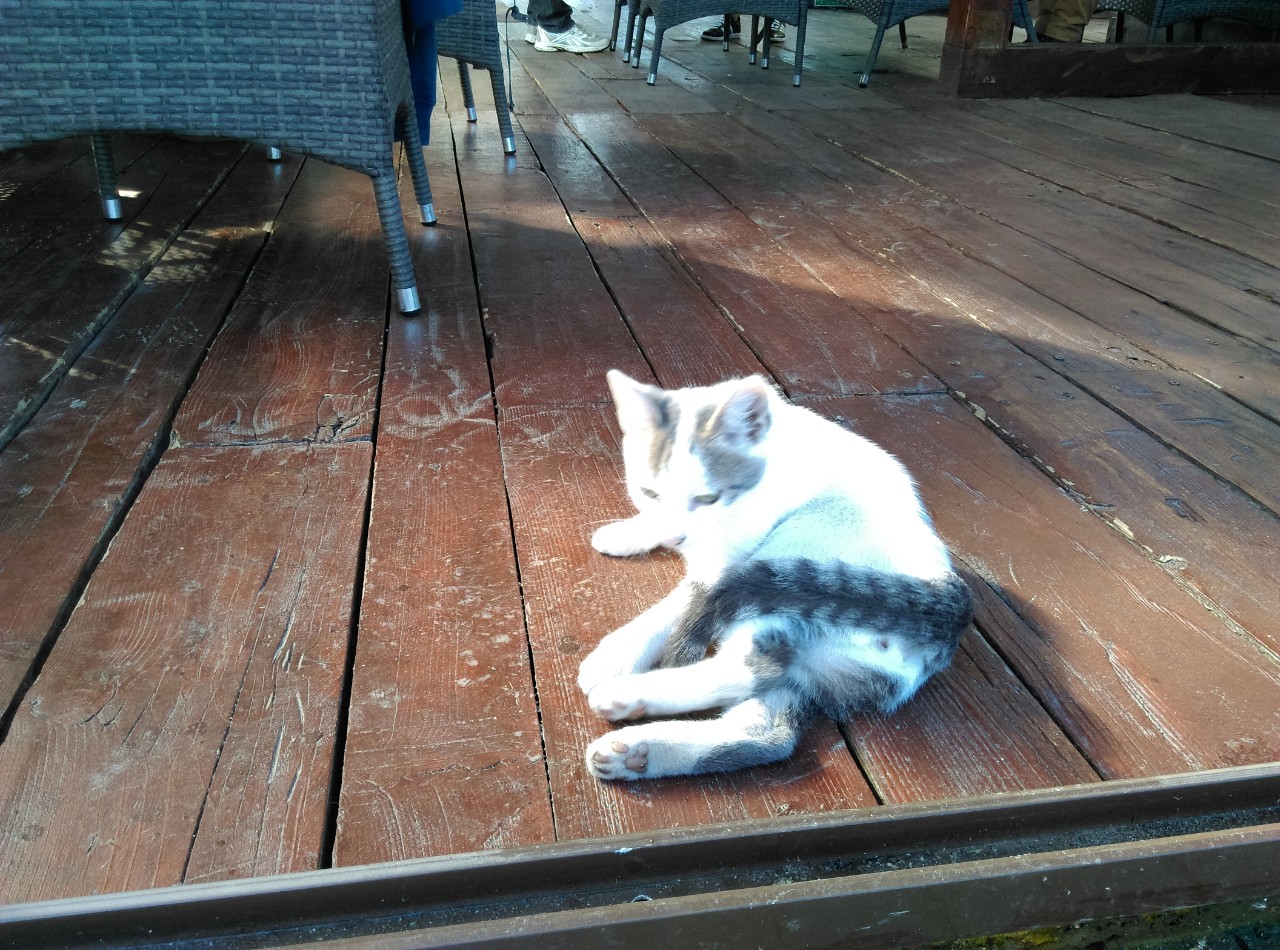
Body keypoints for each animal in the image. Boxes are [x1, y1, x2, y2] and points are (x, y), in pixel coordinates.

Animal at [577, 370, 973, 781]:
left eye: (708, 498)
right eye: (650, 492)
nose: (675, 537)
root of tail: (947, 610)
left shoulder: (727, 565)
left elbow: (682, 602)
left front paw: (617, 654)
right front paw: (630, 532)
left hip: (791, 556)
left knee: (753, 665)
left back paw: (624, 696)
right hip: (810, 664)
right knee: (768, 733)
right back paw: (637, 753)